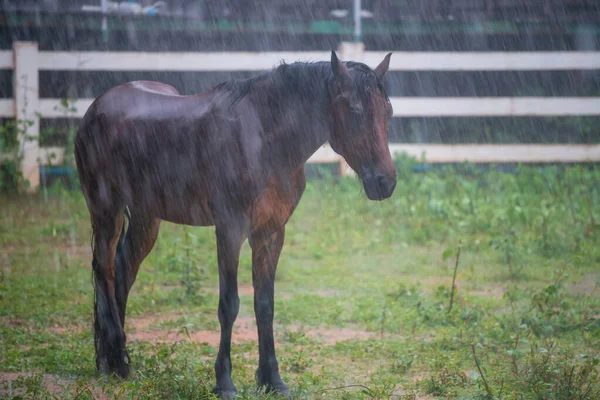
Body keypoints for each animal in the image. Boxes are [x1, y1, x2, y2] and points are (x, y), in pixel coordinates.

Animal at [75, 50, 396, 396]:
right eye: (355, 111)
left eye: (388, 111)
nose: (385, 183)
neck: (264, 140)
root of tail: (95, 108)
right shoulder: (229, 231)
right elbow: (229, 305)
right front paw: (224, 382)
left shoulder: (270, 233)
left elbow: (265, 304)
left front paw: (272, 379)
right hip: (106, 211)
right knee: (105, 272)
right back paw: (113, 362)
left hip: (147, 219)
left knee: (123, 272)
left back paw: (116, 360)